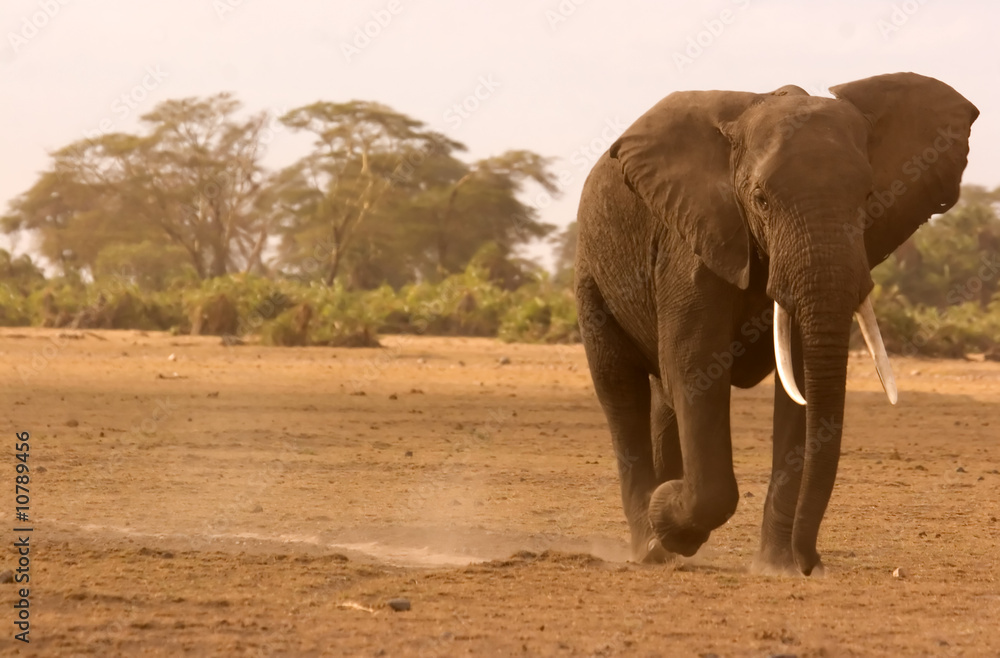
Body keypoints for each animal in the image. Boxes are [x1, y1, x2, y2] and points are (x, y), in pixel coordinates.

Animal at [574, 72, 978, 575]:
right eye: (761, 200)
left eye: (868, 198)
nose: (812, 562)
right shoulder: (693, 240)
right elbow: (695, 364)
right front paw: (667, 516)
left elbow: (801, 383)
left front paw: (777, 567)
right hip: (591, 275)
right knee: (619, 389)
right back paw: (650, 547)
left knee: (663, 397)